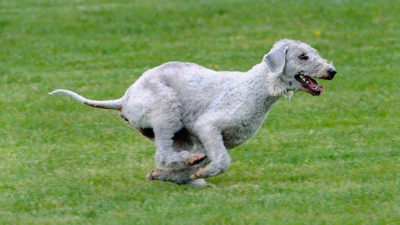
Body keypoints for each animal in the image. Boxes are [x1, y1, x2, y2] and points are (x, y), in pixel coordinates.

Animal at [50, 39, 338, 186]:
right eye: (303, 57)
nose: (332, 71)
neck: (256, 87)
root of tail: (127, 97)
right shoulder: (208, 126)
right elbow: (221, 161)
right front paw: (200, 173)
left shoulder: (212, 138)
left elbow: (208, 158)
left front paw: (168, 176)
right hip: (166, 109)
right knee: (165, 154)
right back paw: (189, 168)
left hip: (178, 132)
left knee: (169, 155)